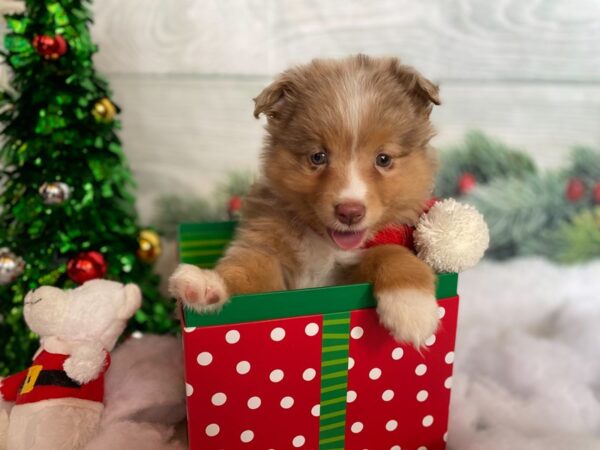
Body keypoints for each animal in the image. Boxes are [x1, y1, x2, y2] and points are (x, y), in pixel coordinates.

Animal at [169, 54, 440, 346]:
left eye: (384, 159)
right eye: (318, 156)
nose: (349, 212)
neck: (323, 243)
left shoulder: (346, 274)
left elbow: (388, 251)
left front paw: (412, 307)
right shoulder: (266, 249)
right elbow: (246, 269)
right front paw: (206, 283)